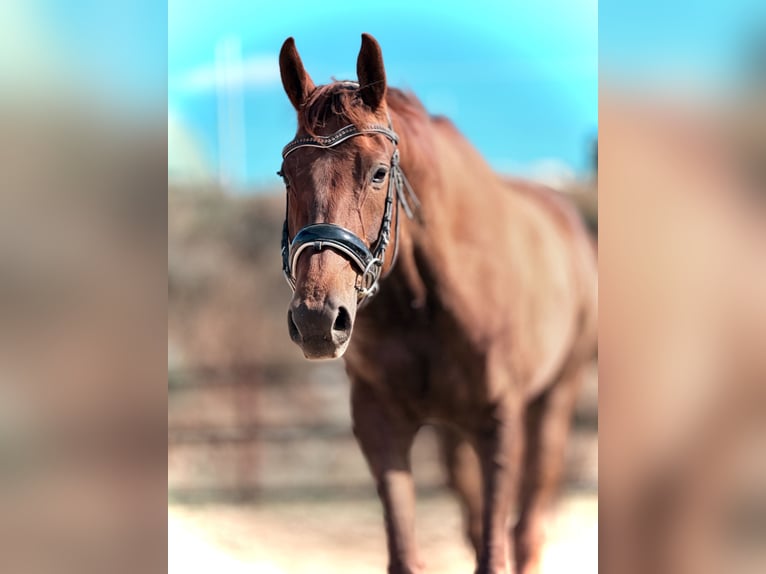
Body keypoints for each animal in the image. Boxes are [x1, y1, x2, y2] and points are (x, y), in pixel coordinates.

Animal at [276, 34, 597, 574]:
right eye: (285, 173)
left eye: (378, 172)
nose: (318, 319)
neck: (423, 304)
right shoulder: (379, 424)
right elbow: (410, 555)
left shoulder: (499, 426)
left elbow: (495, 552)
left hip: (556, 399)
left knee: (526, 532)